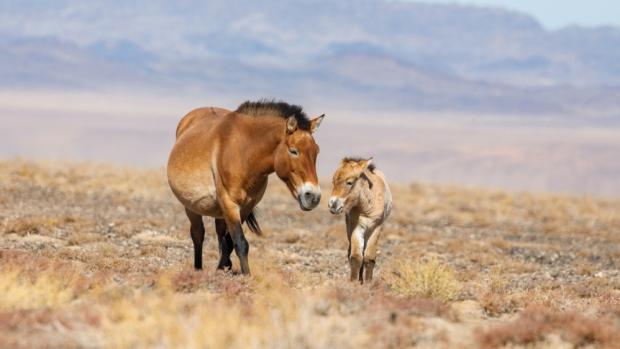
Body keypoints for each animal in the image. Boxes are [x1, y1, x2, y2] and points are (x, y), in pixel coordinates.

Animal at [167, 99, 326, 274]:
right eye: (293, 151)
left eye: (316, 151)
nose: (313, 196)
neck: (244, 152)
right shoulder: (229, 204)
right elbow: (241, 243)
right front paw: (246, 275)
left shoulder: (245, 207)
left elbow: (230, 242)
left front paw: (222, 268)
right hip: (191, 206)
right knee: (198, 234)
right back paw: (198, 269)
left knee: (219, 233)